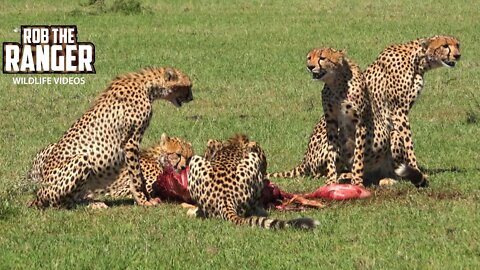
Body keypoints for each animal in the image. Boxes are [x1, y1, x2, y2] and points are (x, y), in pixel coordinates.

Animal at [28, 66, 192, 208]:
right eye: (188, 86)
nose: (191, 98)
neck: (148, 86)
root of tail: (39, 191)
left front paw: (144, 198)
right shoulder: (131, 142)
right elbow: (136, 177)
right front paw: (143, 200)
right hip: (81, 160)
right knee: (61, 203)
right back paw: (92, 204)